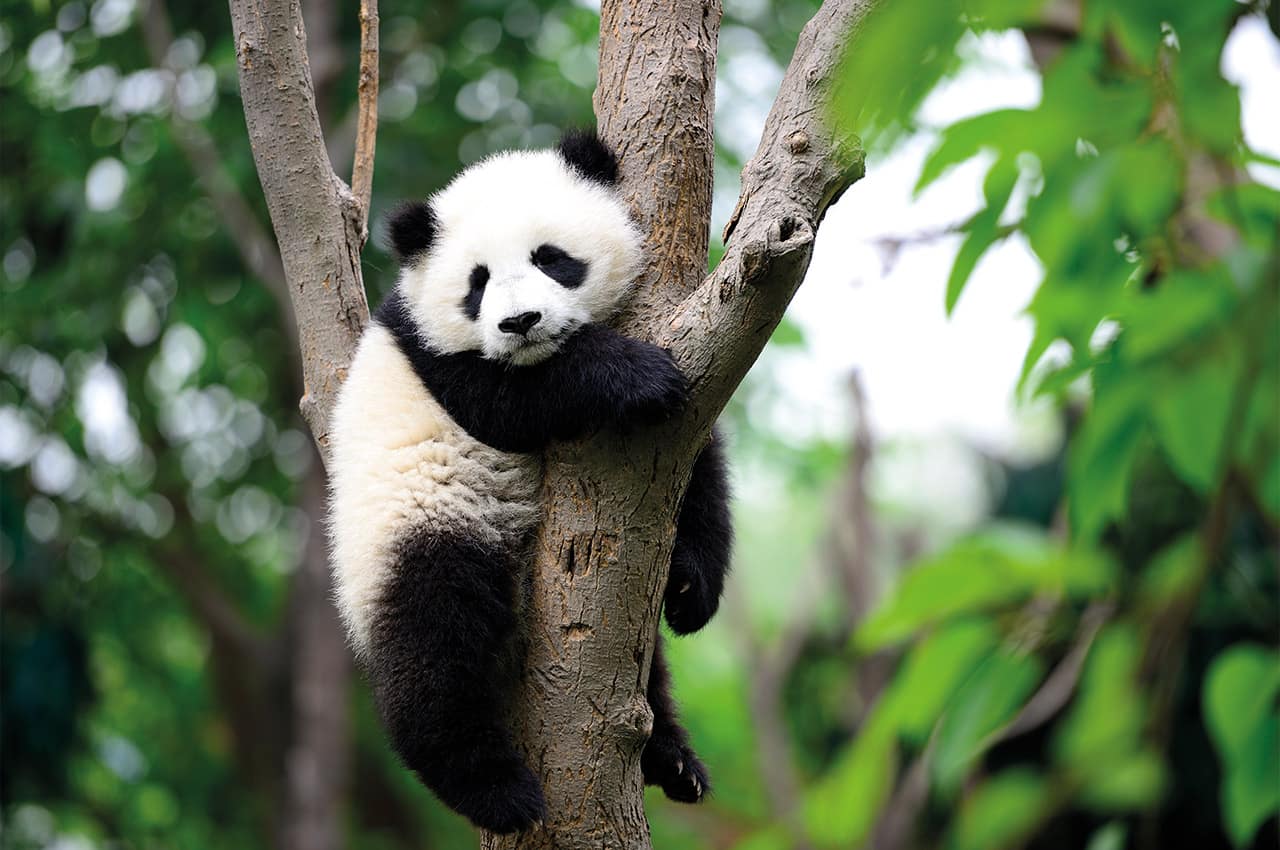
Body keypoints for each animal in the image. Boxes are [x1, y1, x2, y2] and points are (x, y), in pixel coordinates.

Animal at [327, 130, 733, 834]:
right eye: (477, 282)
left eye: (552, 259)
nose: (520, 322)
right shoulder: (437, 359)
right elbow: (514, 401)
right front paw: (634, 375)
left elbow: (697, 468)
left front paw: (690, 588)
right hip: (416, 524)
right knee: (434, 639)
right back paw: (493, 788)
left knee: (643, 668)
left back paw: (672, 761)